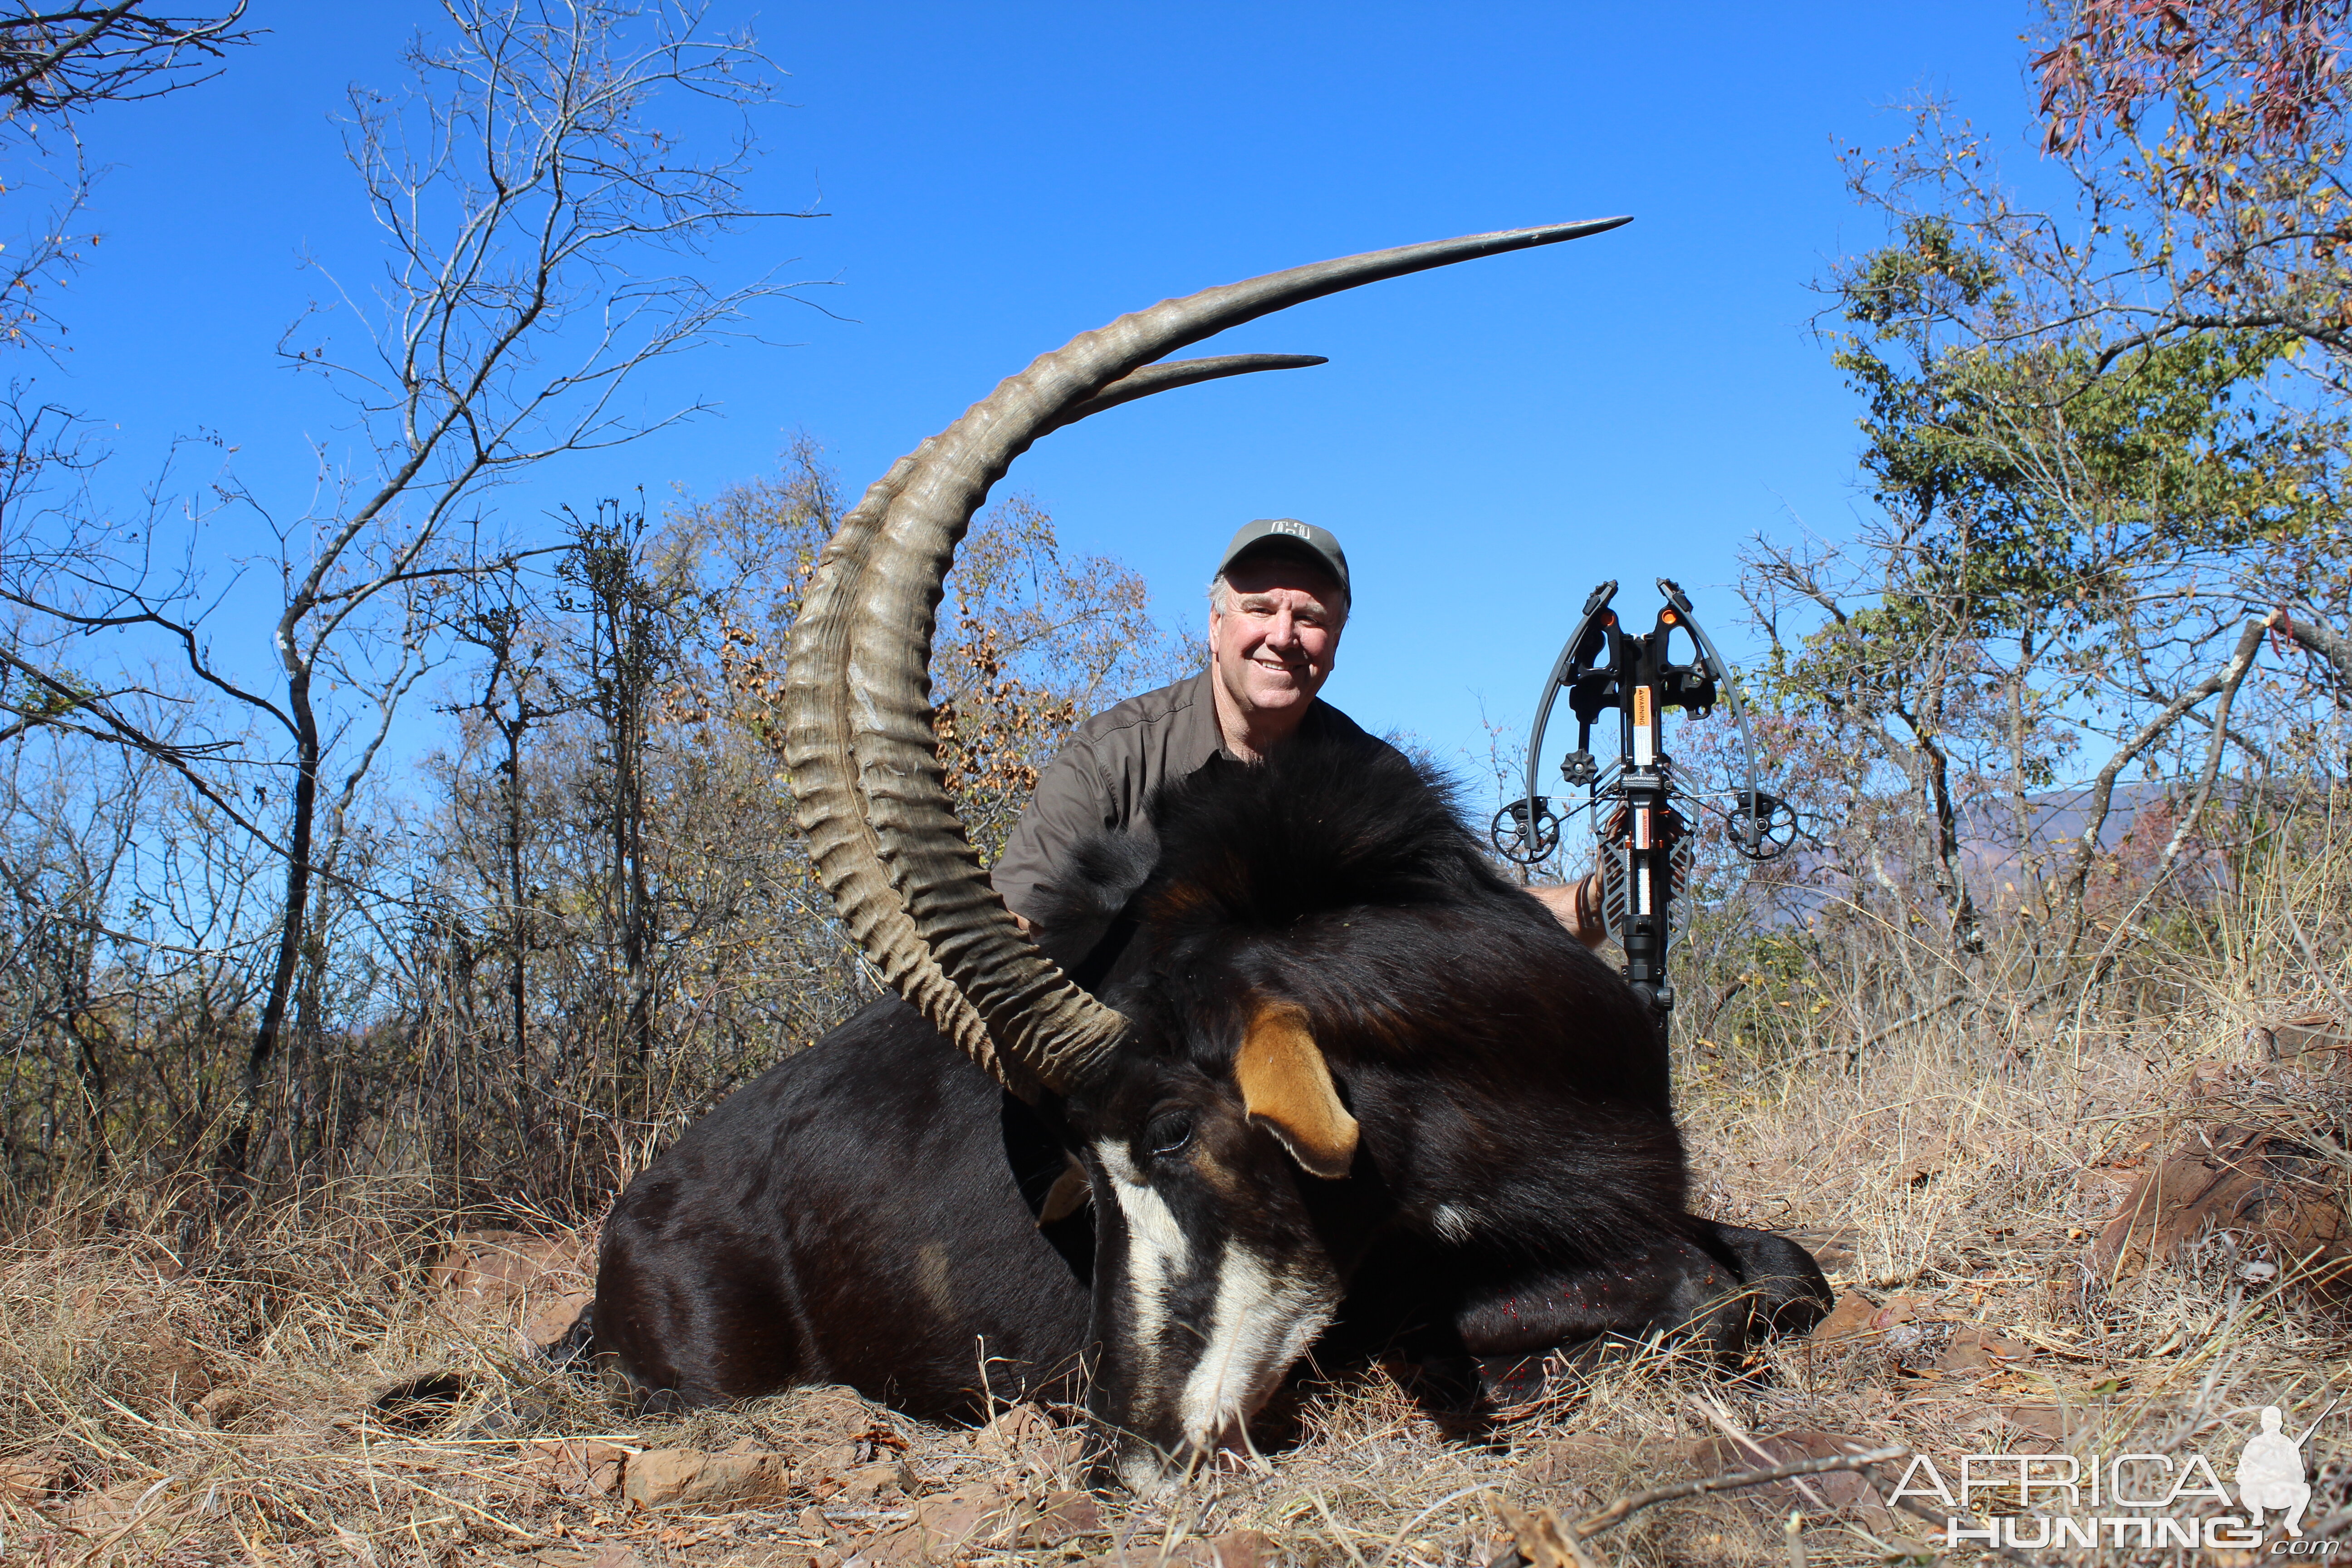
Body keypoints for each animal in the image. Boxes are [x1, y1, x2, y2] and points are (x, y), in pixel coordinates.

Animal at [593, 217, 1834, 1485]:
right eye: (1082, 1180)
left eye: (1172, 1132)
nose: (1122, 1451)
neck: (1510, 1062)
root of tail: (634, 1220)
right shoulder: (1389, 1305)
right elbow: (1701, 1296)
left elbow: (1781, 1273)